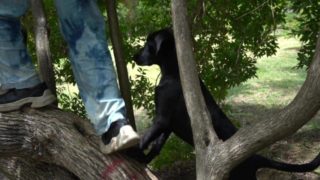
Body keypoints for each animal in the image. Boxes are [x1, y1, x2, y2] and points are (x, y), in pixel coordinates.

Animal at [133, 28, 320, 179]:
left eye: (148, 44)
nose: (134, 56)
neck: (173, 72)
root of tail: (255, 157)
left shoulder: (162, 118)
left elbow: (146, 138)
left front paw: (132, 151)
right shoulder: (169, 124)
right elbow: (156, 145)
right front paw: (144, 158)